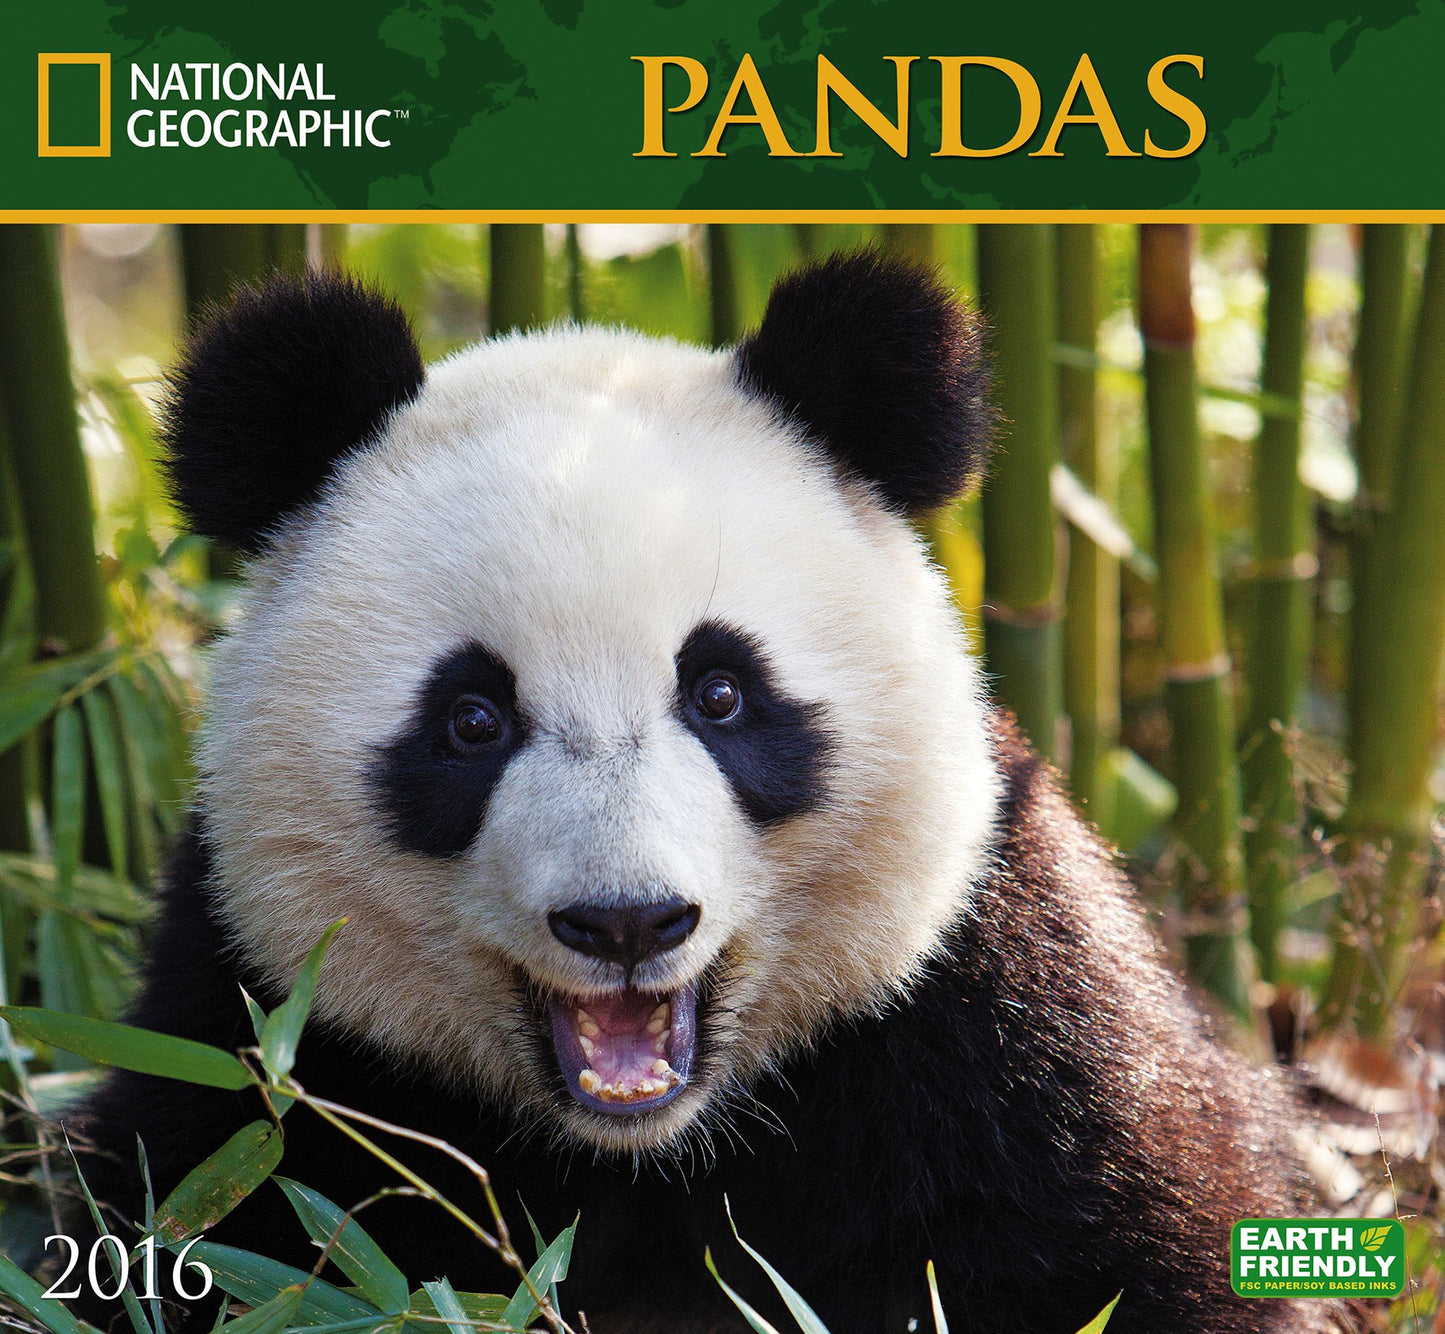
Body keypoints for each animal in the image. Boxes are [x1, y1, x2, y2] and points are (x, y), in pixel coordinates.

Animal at [70, 252, 1334, 1334]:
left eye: (720, 692)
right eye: (471, 718)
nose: (625, 920)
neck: (642, 1151)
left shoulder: (997, 1036)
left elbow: (1133, 1247)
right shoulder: (263, 1058)